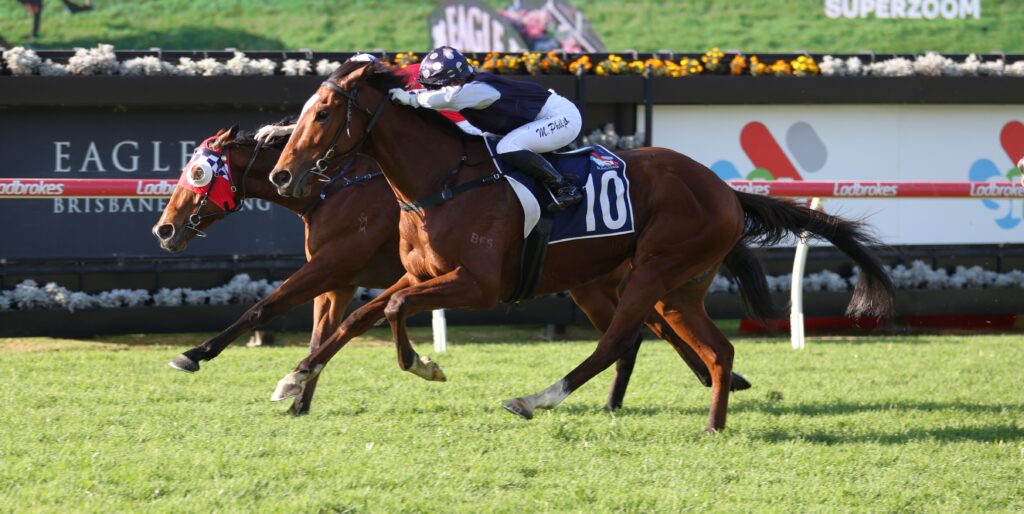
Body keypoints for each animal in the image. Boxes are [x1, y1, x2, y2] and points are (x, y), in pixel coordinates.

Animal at [152, 125, 763, 415]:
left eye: (196, 173)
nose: (164, 229)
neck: (336, 184)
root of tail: (725, 192)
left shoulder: (335, 263)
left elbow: (265, 307)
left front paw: (195, 354)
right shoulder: (341, 276)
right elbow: (331, 329)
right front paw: (299, 392)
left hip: (630, 274)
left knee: (637, 332)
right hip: (601, 278)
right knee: (646, 331)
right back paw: (707, 381)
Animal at [267, 61, 895, 432]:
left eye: (324, 112)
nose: (281, 174)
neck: (441, 181)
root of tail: (725, 191)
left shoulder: (479, 284)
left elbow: (393, 311)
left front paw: (424, 365)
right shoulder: (421, 274)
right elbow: (361, 316)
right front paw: (293, 379)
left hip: (653, 270)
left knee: (617, 340)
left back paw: (534, 399)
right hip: (679, 288)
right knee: (717, 351)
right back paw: (714, 423)